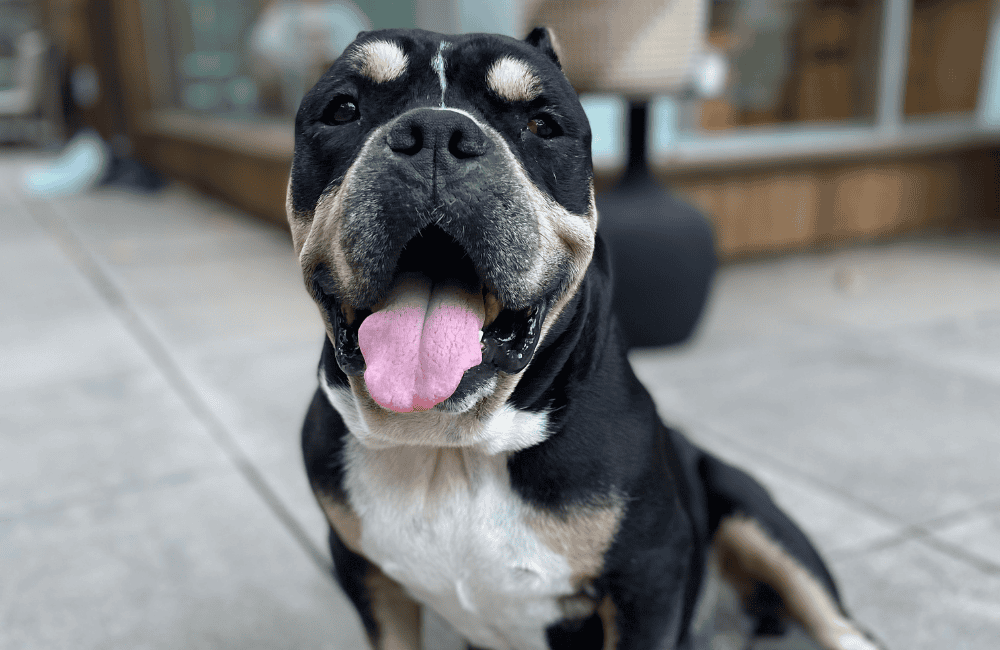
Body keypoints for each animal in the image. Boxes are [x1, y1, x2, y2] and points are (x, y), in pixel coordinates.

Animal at [284, 26, 884, 648]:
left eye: (543, 124)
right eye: (343, 110)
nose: (436, 133)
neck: (454, 448)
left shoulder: (649, 577)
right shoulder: (367, 576)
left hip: (754, 516)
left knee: (836, 621)